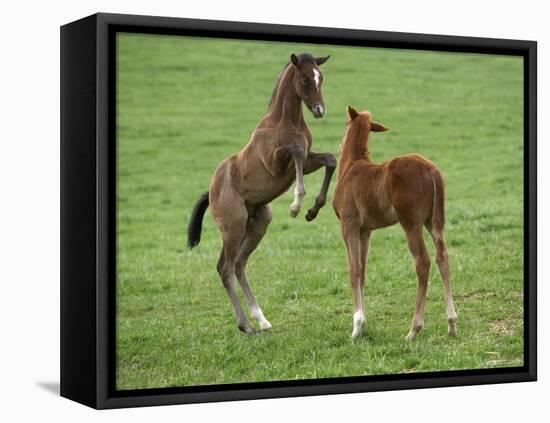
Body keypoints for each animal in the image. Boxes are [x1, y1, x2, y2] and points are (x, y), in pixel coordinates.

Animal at [189, 54, 336, 336]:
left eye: (320, 77)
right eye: (304, 79)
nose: (319, 110)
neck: (285, 121)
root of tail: (212, 191)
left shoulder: (307, 162)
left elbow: (330, 159)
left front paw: (313, 210)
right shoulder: (277, 163)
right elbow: (295, 150)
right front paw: (296, 204)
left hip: (258, 222)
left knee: (239, 263)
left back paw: (262, 319)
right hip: (233, 227)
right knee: (224, 267)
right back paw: (246, 325)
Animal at [334, 106, 460, 342]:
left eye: (345, 124)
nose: (339, 146)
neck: (350, 167)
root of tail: (432, 171)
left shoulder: (349, 226)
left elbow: (353, 270)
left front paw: (356, 327)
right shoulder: (366, 231)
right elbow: (363, 270)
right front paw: (363, 324)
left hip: (410, 223)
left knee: (423, 262)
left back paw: (414, 329)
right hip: (434, 222)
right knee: (443, 258)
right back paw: (451, 324)